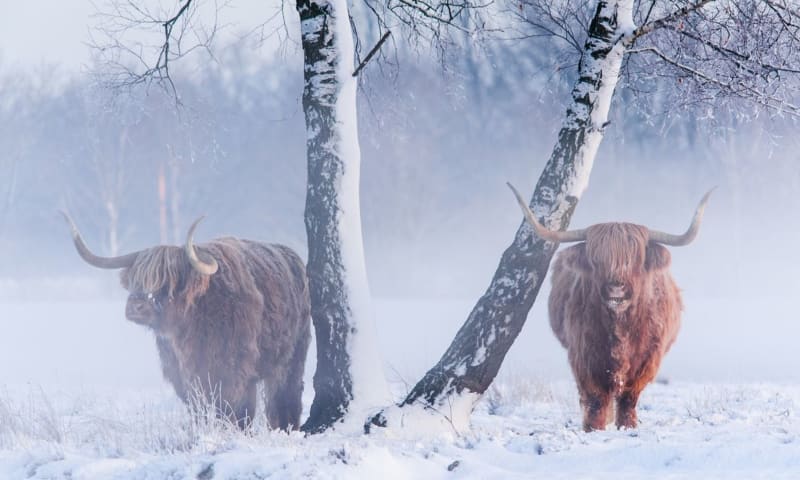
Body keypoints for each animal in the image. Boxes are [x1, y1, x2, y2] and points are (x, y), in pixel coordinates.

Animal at [61, 212, 310, 430]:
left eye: (167, 281)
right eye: (135, 279)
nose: (136, 307)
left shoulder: (233, 371)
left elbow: (235, 409)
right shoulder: (182, 376)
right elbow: (199, 410)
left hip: (290, 359)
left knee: (285, 396)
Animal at [506, 186, 712, 434]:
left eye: (636, 259)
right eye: (597, 259)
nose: (616, 287)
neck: (620, 326)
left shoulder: (648, 358)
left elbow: (629, 396)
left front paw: (627, 426)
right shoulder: (584, 354)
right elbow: (596, 397)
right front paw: (594, 428)